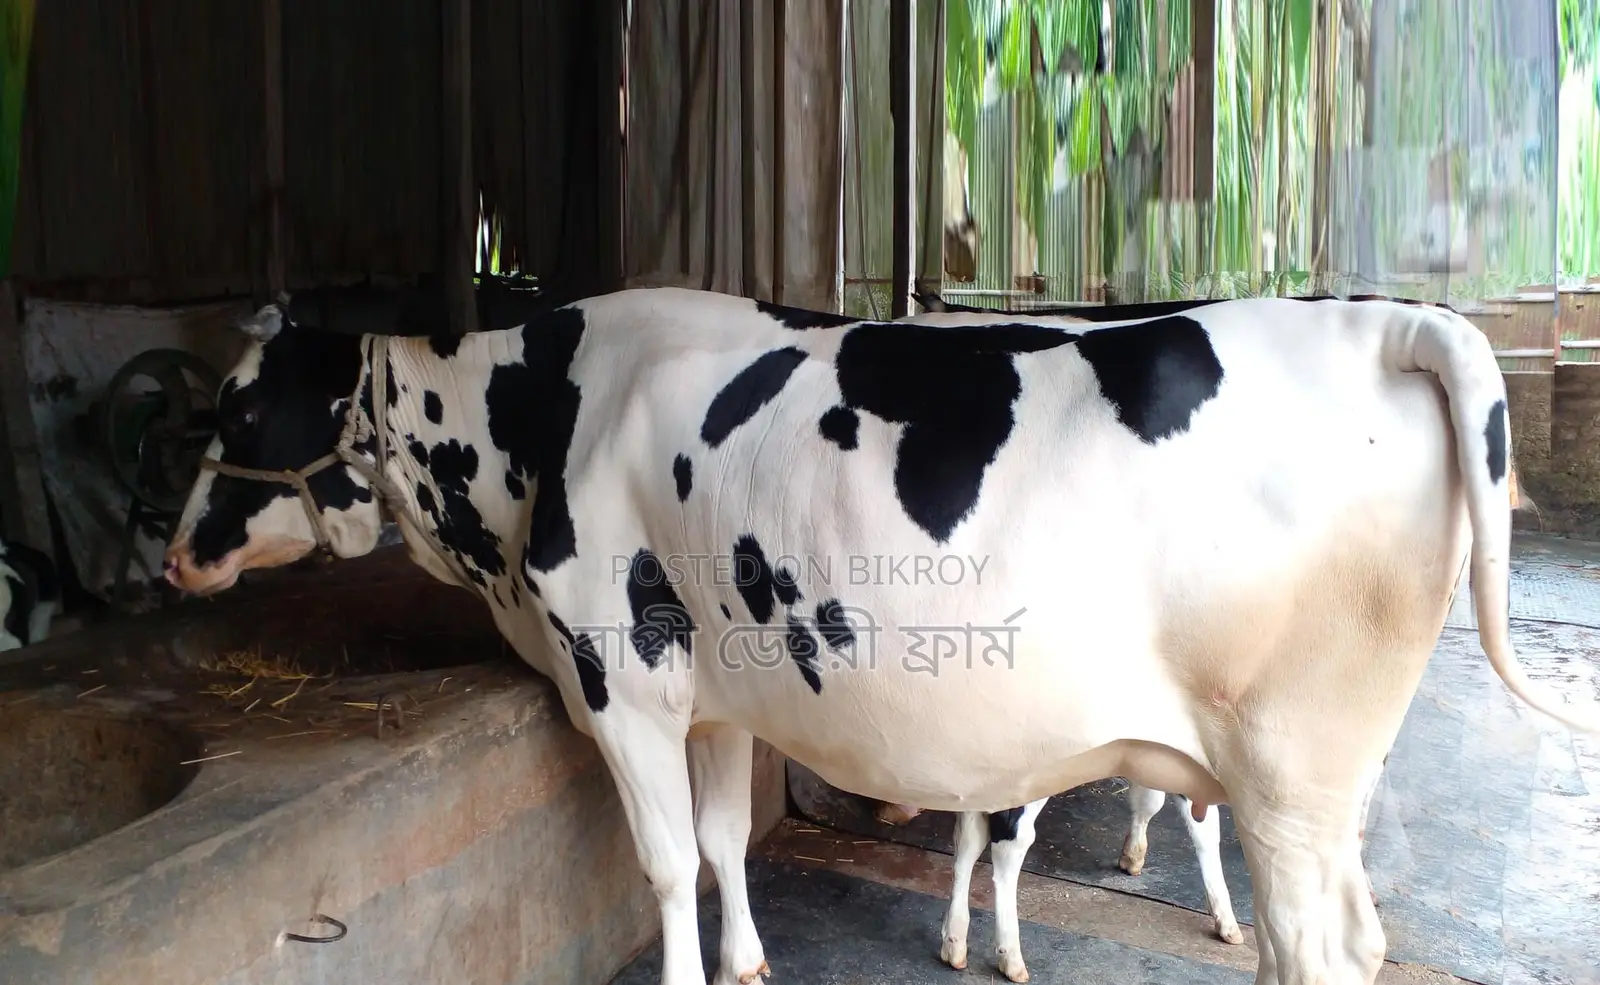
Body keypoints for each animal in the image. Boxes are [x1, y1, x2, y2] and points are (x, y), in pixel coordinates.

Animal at [163, 287, 1598, 985]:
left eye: (237, 414)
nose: (174, 555)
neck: (546, 411)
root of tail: (1383, 317)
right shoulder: (722, 691)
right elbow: (725, 840)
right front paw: (748, 964)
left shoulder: (620, 676)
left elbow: (664, 863)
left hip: (1292, 771)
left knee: (1325, 950)